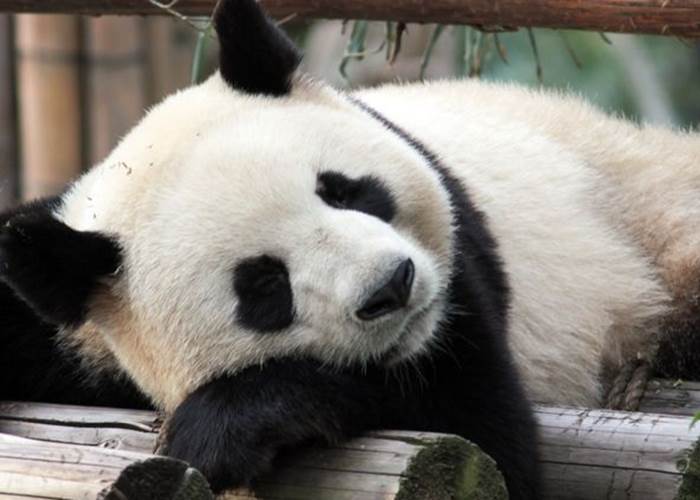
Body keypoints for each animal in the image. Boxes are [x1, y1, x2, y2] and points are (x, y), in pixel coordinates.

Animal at [1, 0, 699, 497]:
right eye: (264, 286)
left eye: (344, 190)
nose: (392, 285)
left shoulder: (463, 299)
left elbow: (485, 437)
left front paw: (221, 429)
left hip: (643, 214)